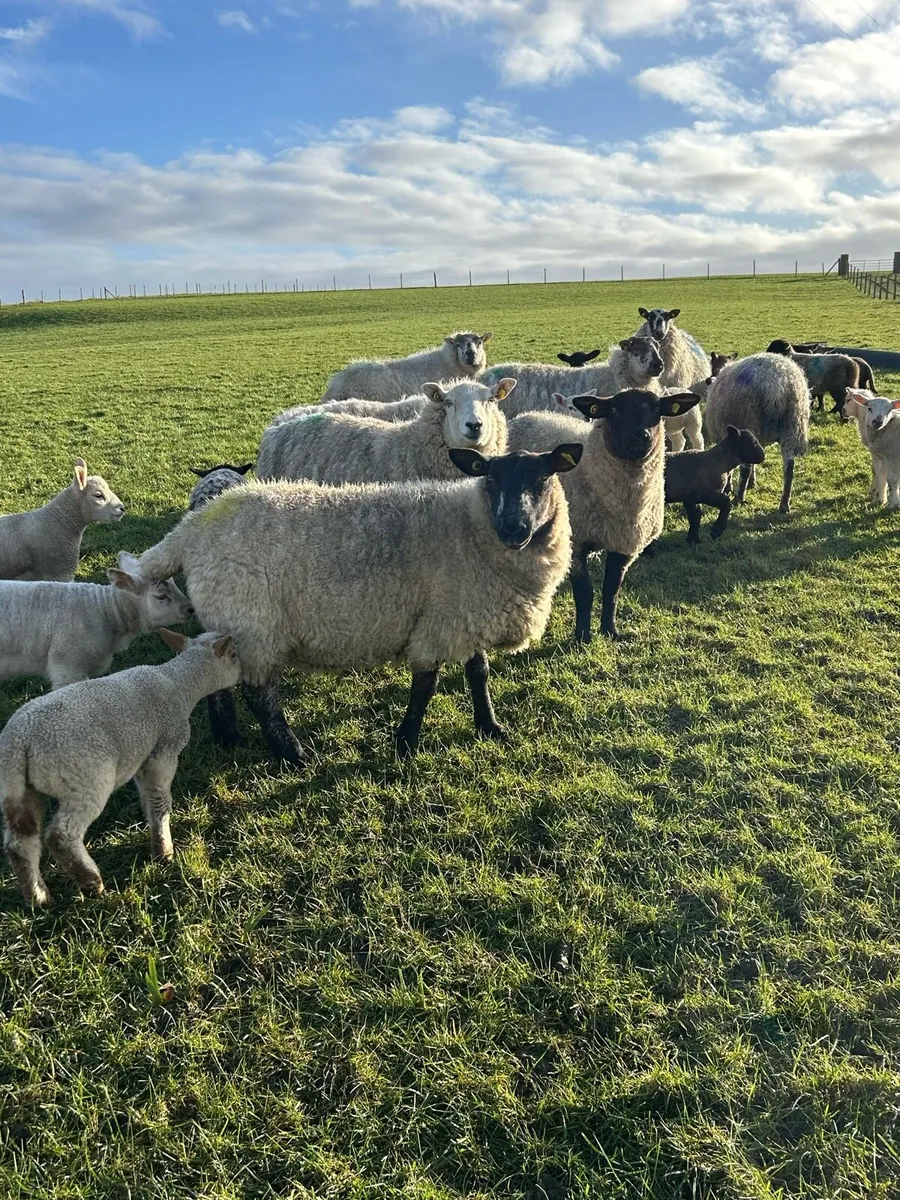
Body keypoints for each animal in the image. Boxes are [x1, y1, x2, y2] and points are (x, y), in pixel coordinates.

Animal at [0, 629, 240, 906]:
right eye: (234, 655)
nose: (244, 673)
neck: (179, 682)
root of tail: (19, 742)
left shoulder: (142, 758)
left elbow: (149, 800)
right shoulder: (164, 751)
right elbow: (161, 802)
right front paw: (163, 851)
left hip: (17, 789)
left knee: (20, 842)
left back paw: (37, 897)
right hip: (85, 777)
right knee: (61, 836)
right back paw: (90, 882)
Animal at [137, 446, 582, 766]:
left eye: (543, 477)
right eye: (491, 476)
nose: (513, 529)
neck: (472, 527)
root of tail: (188, 533)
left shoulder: (463, 614)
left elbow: (479, 673)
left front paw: (490, 726)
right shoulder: (438, 624)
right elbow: (426, 686)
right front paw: (406, 743)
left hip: (229, 619)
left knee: (216, 676)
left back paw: (228, 736)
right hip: (252, 623)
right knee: (258, 695)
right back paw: (293, 756)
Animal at [507, 389, 700, 641]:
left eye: (657, 410)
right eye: (614, 410)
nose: (640, 437)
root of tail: (528, 415)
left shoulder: (624, 545)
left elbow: (611, 589)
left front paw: (610, 631)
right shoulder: (576, 542)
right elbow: (585, 592)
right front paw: (582, 637)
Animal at [705, 353, 809, 512]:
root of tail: (777, 385)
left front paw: (728, 488)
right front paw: (752, 483)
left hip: (748, 422)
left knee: (745, 469)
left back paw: (738, 498)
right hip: (792, 426)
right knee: (789, 467)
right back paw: (784, 504)